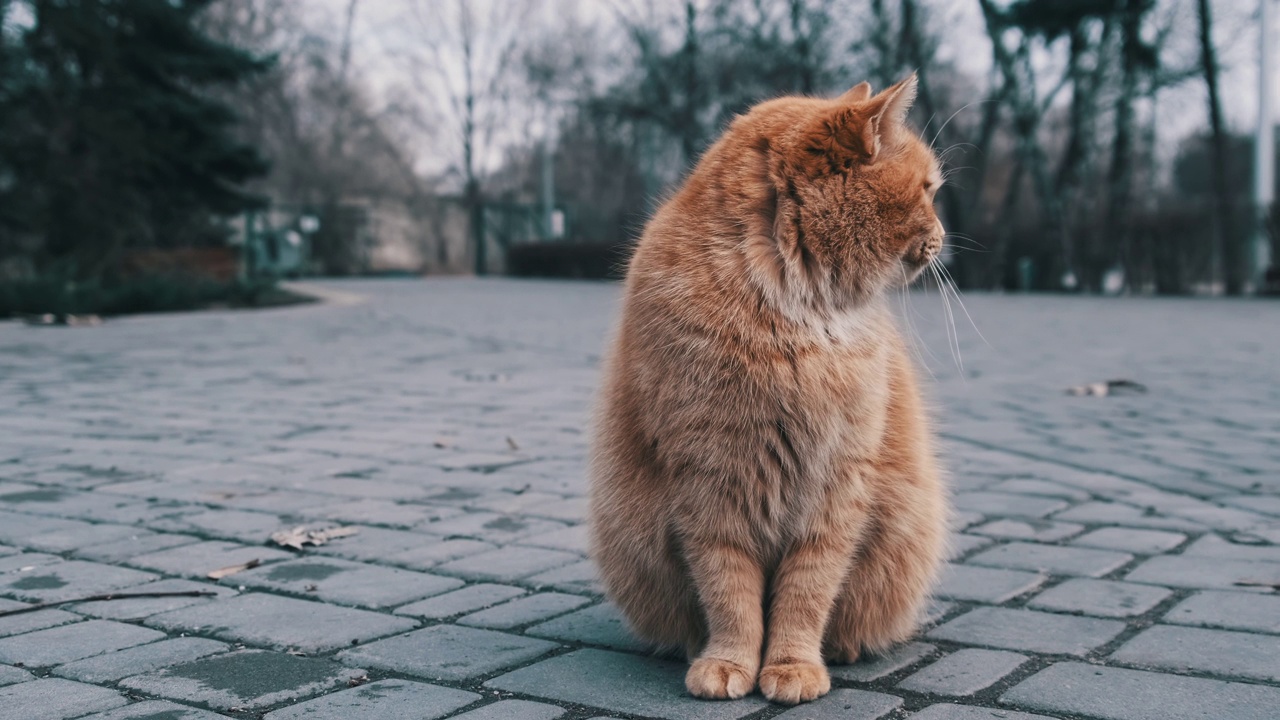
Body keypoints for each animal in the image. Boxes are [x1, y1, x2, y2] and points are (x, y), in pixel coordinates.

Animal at [588, 75, 952, 702]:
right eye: (926, 190)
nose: (944, 236)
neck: (792, 313)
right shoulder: (709, 483)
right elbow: (730, 594)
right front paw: (728, 662)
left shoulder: (837, 488)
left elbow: (806, 593)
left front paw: (791, 666)